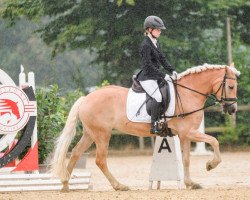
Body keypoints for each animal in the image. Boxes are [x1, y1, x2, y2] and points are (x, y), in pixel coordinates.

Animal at [51, 63, 240, 191]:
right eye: (231, 86)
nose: (232, 109)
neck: (188, 93)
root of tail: (86, 98)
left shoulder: (185, 135)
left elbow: (186, 159)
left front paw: (190, 183)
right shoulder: (189, 132)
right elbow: (214, 141)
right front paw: (211, 164)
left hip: (90, 134)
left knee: (76, 153)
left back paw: (65, 185)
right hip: (102, 135)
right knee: (100, 160)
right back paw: (119, 186)